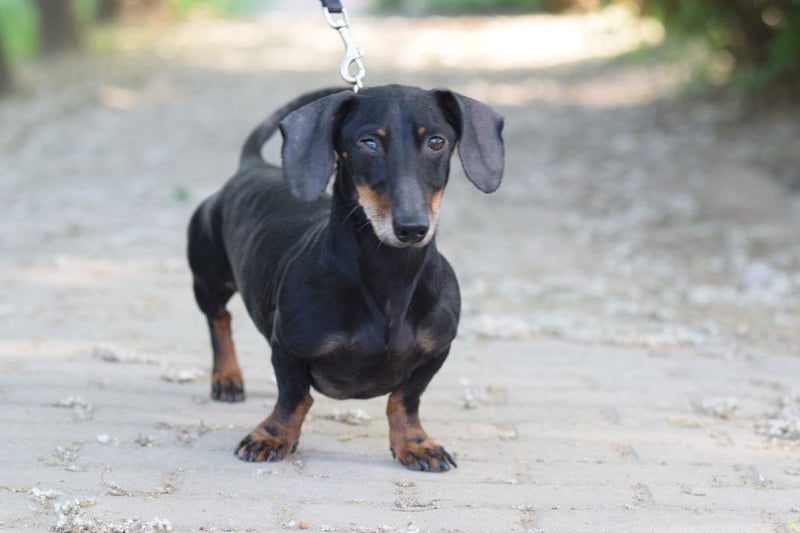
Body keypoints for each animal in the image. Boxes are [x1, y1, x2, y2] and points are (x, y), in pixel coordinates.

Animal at [187, 85, 504, 471]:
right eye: (368, 142)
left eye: (436, 141)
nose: (412, 228)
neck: (389, 276)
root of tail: (251, 166)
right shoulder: (287, 348)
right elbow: (293, 398)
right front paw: (272, 436)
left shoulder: (436, 352)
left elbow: (404, 399)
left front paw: (415, 443)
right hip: (208, 279)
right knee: (219, 318)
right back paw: (227, 379)